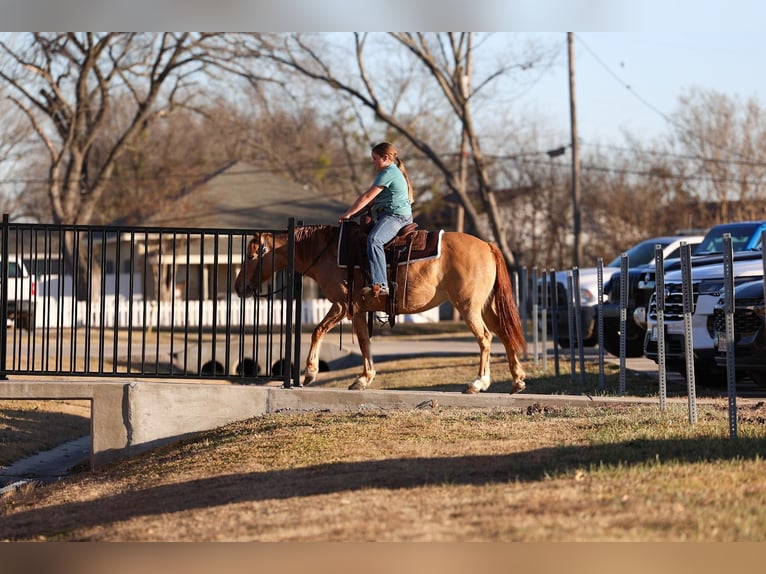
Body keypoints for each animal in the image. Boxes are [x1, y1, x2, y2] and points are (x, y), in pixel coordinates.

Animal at [234, 224, 526, 394]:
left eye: (252, 255)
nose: (239, 287)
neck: (327, 250)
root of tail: (487, 246)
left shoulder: (342, 304)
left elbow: (318, 331)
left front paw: (310, 372)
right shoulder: (358, 309)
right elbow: (364, 341)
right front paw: (363, 378)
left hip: (468, 306)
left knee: (485, 338)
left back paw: (478, 383)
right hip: (485, 307)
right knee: (504, 334)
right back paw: (517, 380)